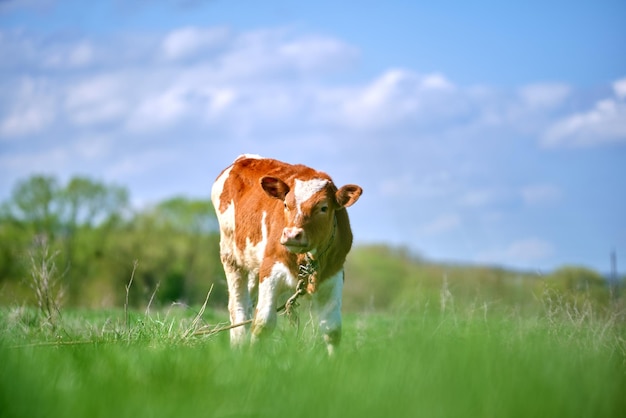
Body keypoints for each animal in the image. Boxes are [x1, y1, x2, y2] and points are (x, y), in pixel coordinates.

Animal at [212, 153, 364, 352]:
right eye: (285, 204)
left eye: (323, 207)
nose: (292, 234)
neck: (309, 260)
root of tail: (244, 158)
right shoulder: (270, 270)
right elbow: (263, 324)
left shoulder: (335, 275)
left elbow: (332, 330)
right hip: (231, 258)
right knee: (238, 310)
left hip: (252, 266)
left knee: (247, 306)